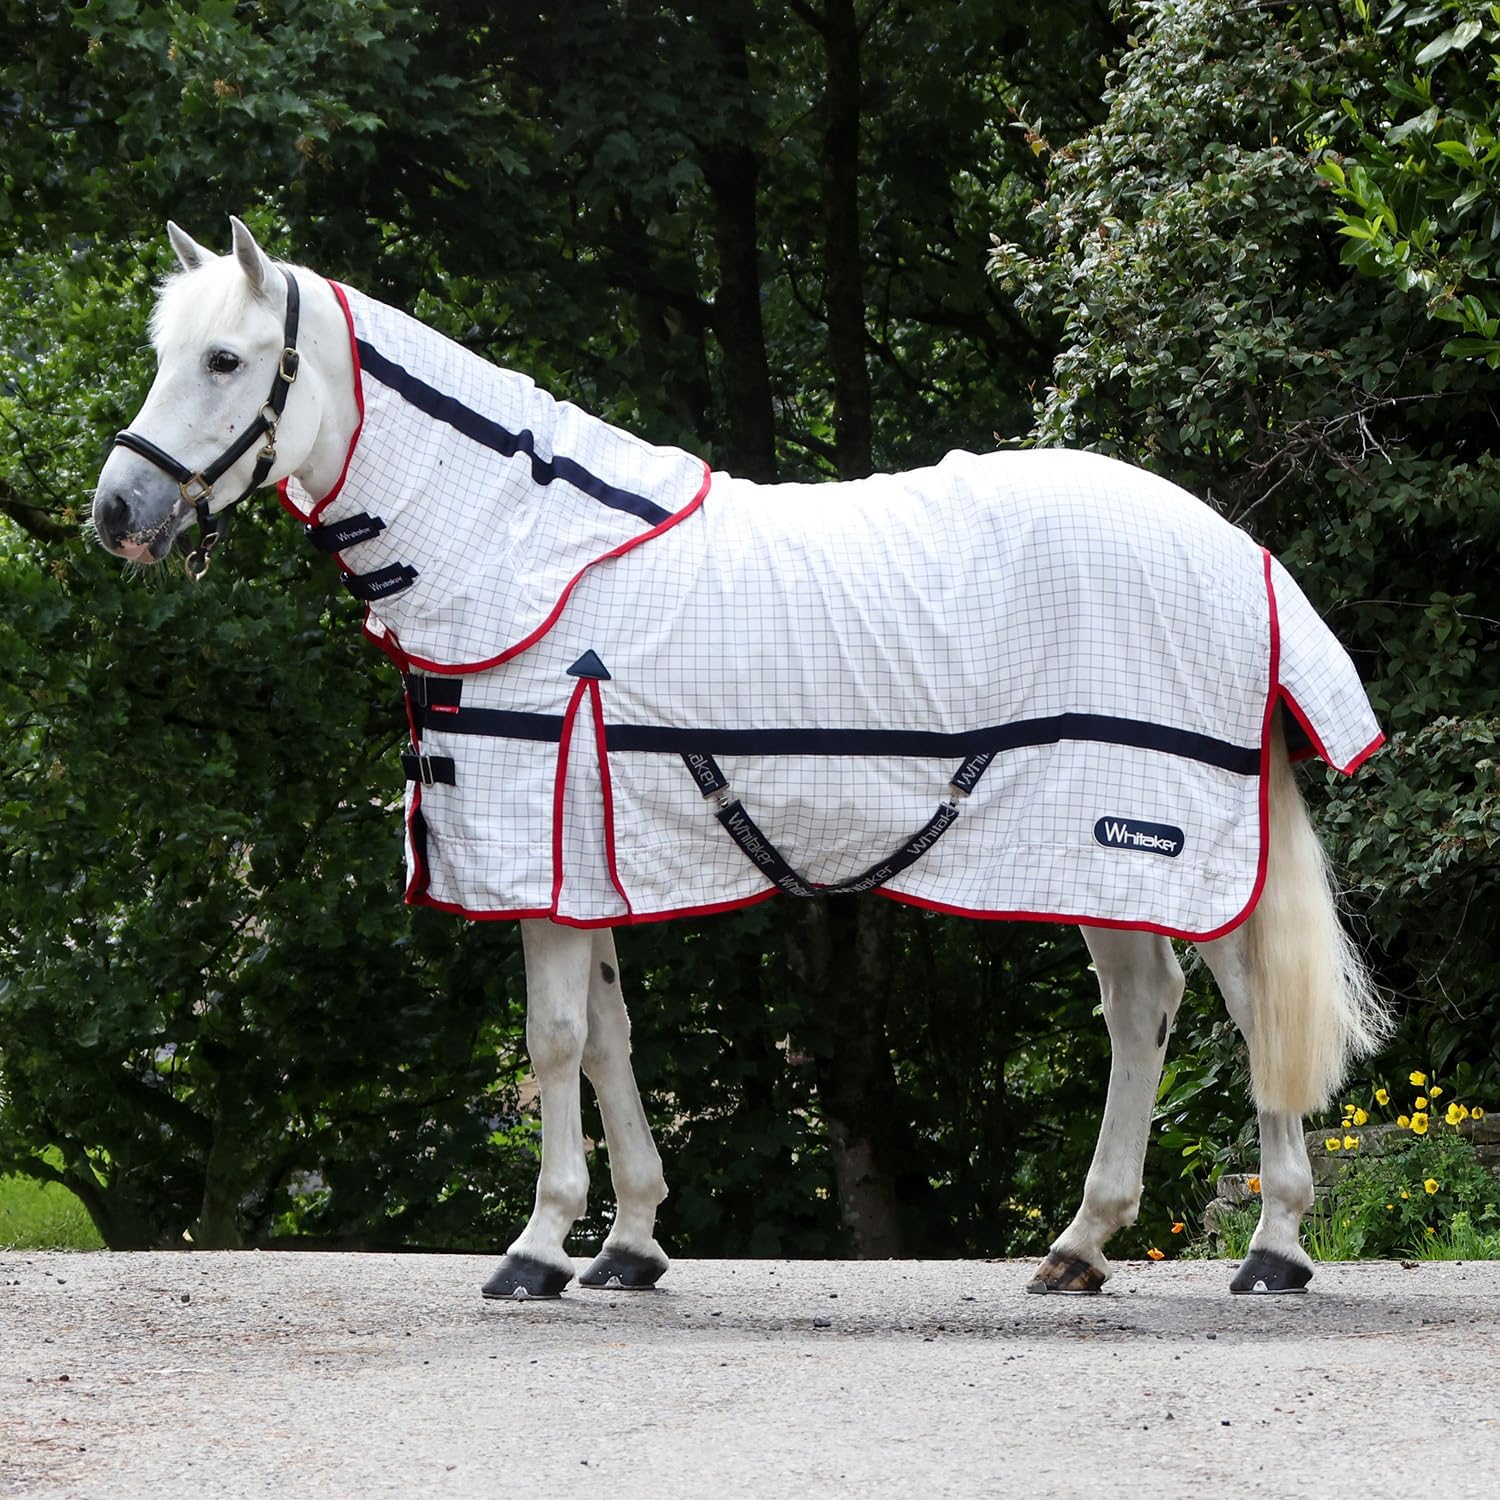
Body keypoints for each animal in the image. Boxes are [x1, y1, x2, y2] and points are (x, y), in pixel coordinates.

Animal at [92, 218, 1389, 1298]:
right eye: (167, 352)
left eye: (224, 361)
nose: (117, 512)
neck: (523, 553)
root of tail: (1237, 554)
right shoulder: (589, 854)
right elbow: (610, 1037)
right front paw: (627, 1243)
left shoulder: (542, 849)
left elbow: (554, 1041)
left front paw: (536, 1248)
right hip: (1099, 859)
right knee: (1144, 1008)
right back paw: (1085, 1248)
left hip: (1156, 844)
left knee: (1233, 1006)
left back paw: (1271, 1249)